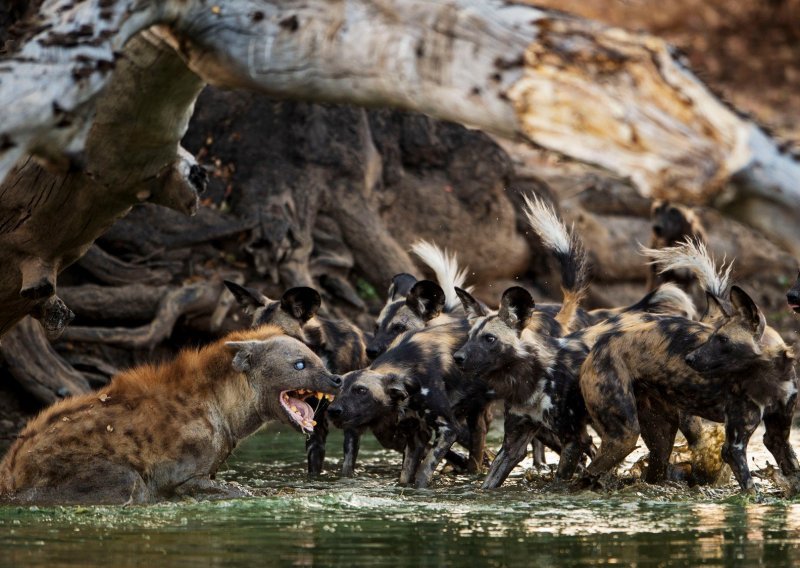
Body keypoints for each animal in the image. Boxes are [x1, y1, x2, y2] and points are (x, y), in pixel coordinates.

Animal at [0, 324, 340, 506]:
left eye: (318, 359)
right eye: (299, 364)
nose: (336, 379)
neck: (223, 405)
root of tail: (11, 471)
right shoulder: (183, 474)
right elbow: (235, 490)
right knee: (130, 482)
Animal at [580, 240, 800, 492]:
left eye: (722, 340)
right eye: (712, 337)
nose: (689, 359)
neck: (770, 376)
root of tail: (601, 343)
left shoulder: (778, 436)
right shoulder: (733, 447)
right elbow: (750, 489)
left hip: (660, 438)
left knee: (655, 464)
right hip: (624, 436)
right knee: (586, 474)